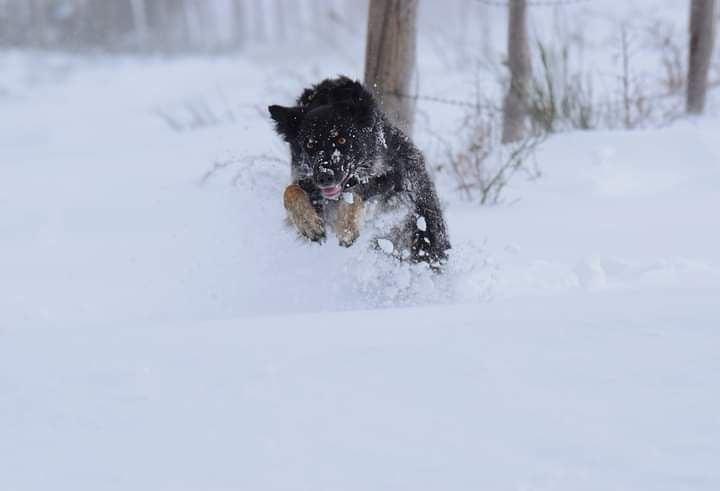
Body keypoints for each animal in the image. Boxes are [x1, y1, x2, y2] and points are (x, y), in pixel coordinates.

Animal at [270, 76, 450, 270]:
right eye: (310, 145)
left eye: (342, 140)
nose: (324, 177)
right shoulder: (305, 180)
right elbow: (290, 191)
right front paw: (308, 223)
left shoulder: (395, 180)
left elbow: (356, 191)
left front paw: (347, 228)